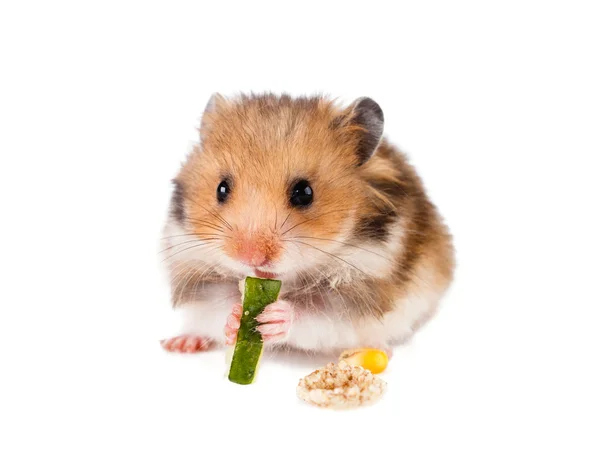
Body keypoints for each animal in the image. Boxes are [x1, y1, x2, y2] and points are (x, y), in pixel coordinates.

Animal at [159, 93, 454, 356]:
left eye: (304, 193)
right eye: (221, 189)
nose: (251, 257)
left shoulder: (358, 289)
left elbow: (314, 314)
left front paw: (275, 316)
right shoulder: (196, 272)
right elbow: (218, 304)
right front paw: (234, 318)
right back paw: (181, 343)